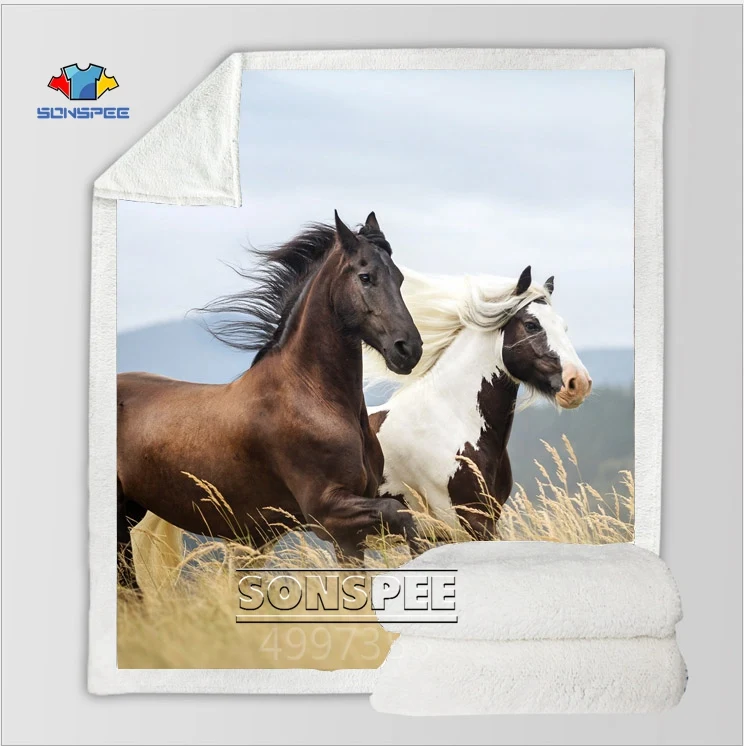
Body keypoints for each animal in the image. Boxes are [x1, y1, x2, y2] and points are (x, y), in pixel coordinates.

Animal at [117, 211, 423, 589]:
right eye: (366, 277)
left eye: (399, 277)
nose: (408, 349)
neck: (313, 395)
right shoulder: (328, 513)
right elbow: (403, 517)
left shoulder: (349, 533)